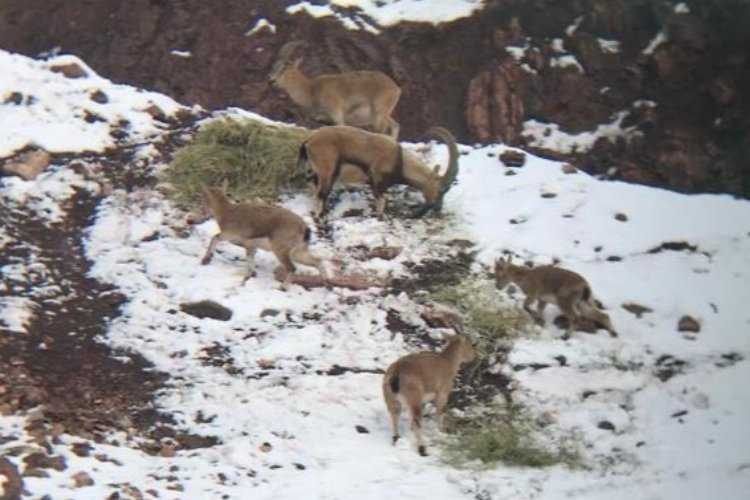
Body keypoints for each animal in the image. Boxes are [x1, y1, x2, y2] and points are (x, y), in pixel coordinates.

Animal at [268, 40, 402, 138]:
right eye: (274, 66)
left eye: (285, 68)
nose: (271, 81)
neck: (312, 89)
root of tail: (396, 89)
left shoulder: (336, 112)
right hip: (385, 114)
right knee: (395, 126)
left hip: (378, 112)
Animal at [296, 124, 462, 218]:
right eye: (442, 189)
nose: (438, 208)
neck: (400, 160)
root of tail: (309, 141)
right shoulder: (378, 180)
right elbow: (382, 201)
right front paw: (381, 217)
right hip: (328, 171)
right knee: (321, 194)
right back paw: (320, 217)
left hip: (315, 172)